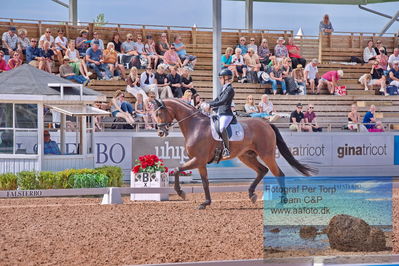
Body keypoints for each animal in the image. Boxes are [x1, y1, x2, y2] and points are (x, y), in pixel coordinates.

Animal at [155, 98, 318, 209]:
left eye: (159, 113)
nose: (160, 132)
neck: (195, 126)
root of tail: (266, 123)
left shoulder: (198, 159)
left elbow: (177, 170)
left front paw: (181, 193)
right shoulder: (200, 162)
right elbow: (205, 182)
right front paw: (206, 202)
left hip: (266, 154)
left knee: (278, 173)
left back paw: (282, 202)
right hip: (246, 156)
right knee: (262, 170)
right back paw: (252, 194)